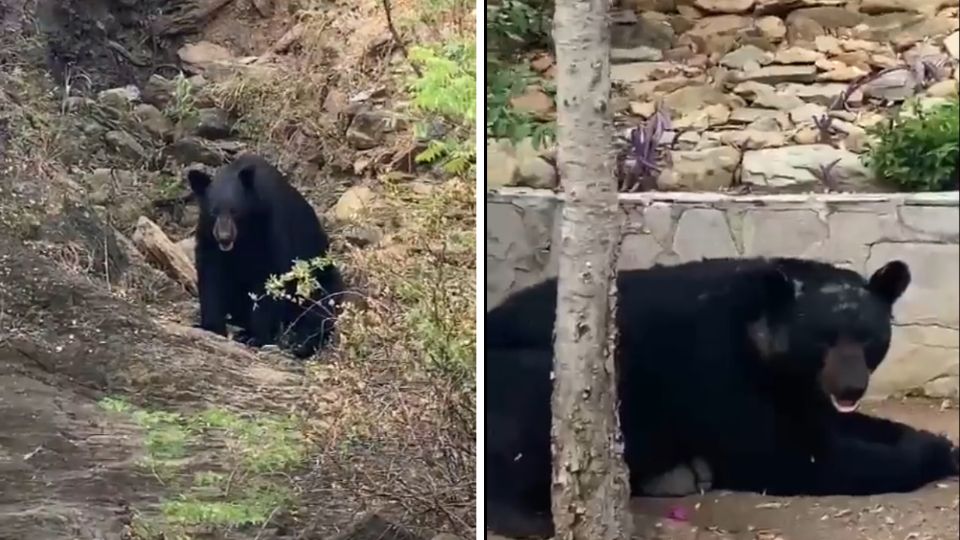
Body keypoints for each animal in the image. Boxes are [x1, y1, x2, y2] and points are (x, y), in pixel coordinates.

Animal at [186, 152, 344, 358]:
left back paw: (300, 343)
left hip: (319, 278)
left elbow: (268, 278)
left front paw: (256, 336)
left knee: (319, 308)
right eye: (213, 212)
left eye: (235, 211)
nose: (224, 237)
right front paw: (211, 327)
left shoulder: (271, 229)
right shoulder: (208, 237)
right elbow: (211, 276)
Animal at [488, 256, 960, 536]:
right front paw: (932, 453)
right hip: (540, 372)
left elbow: (828, 424)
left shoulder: (797, 387)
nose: (851, 387)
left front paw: (934, 440)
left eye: (868, 338)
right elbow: (786, 454)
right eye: (822, 338)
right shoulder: (716, 365)